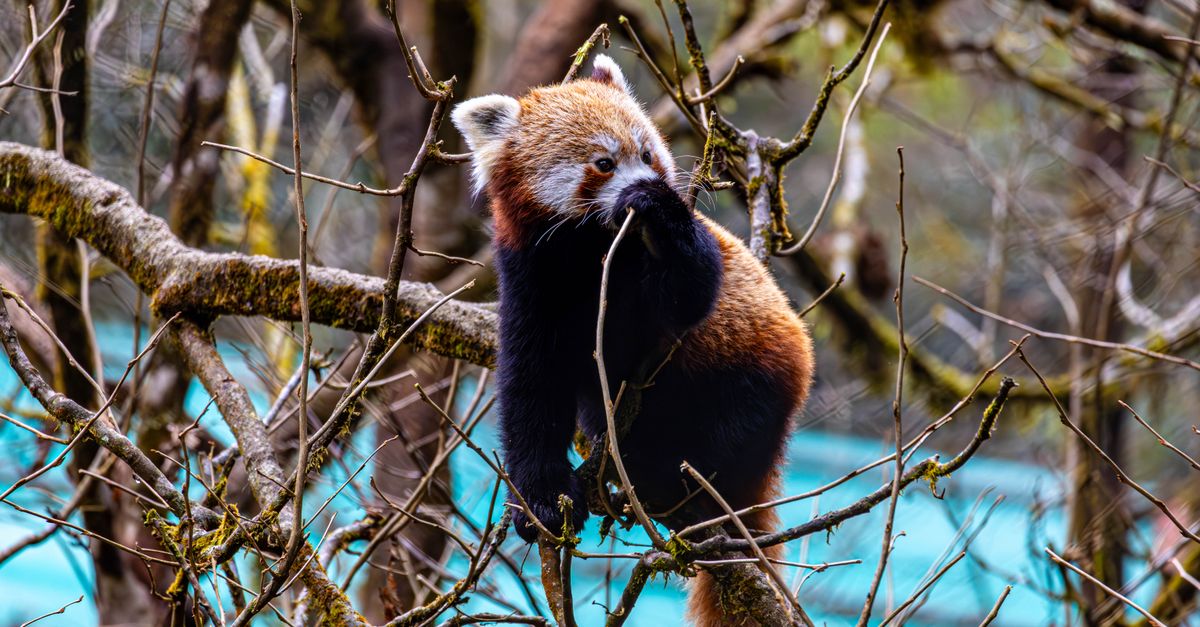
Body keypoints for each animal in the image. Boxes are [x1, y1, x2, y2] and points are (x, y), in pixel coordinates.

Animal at [452, 54, 814, 625]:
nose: (643, 182)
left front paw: (658, 206)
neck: (586, 252)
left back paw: (668, 477)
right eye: (603, 162)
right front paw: (540, 500)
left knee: (732, 428)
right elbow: (531, 392)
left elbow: (691, 294)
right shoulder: (530, 287)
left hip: (757, 371)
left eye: (647, 153)